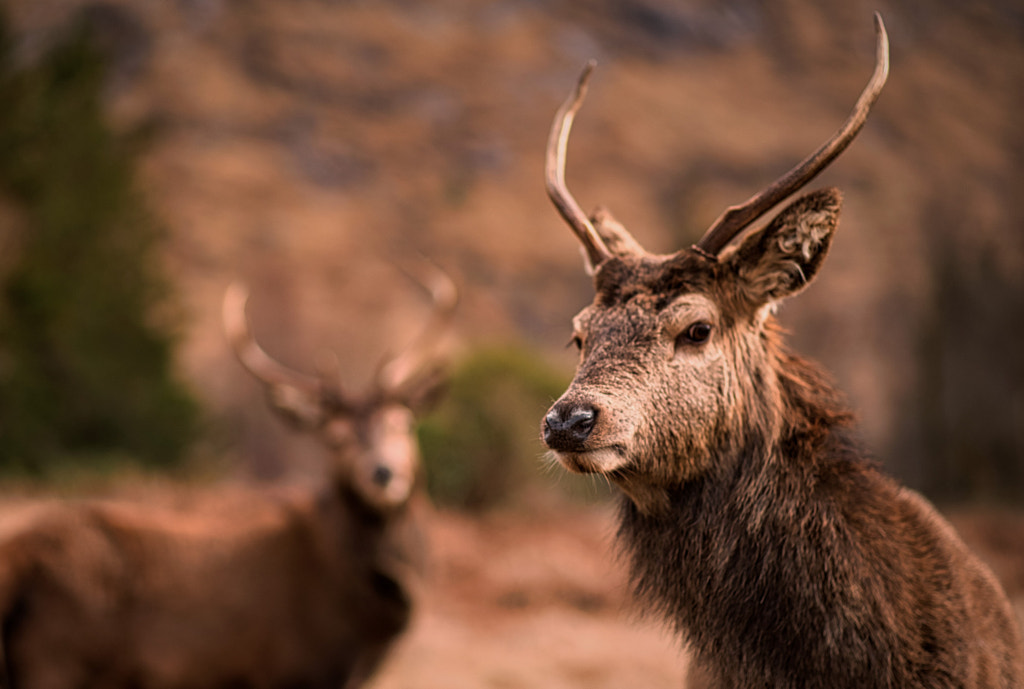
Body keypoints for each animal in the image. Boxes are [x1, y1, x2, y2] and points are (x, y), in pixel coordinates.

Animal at [0, 266, 456, 687]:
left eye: (403, 423)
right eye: (335, 438)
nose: (382, 473)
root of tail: (16, 564)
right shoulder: (289, 668)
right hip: (58, 654)